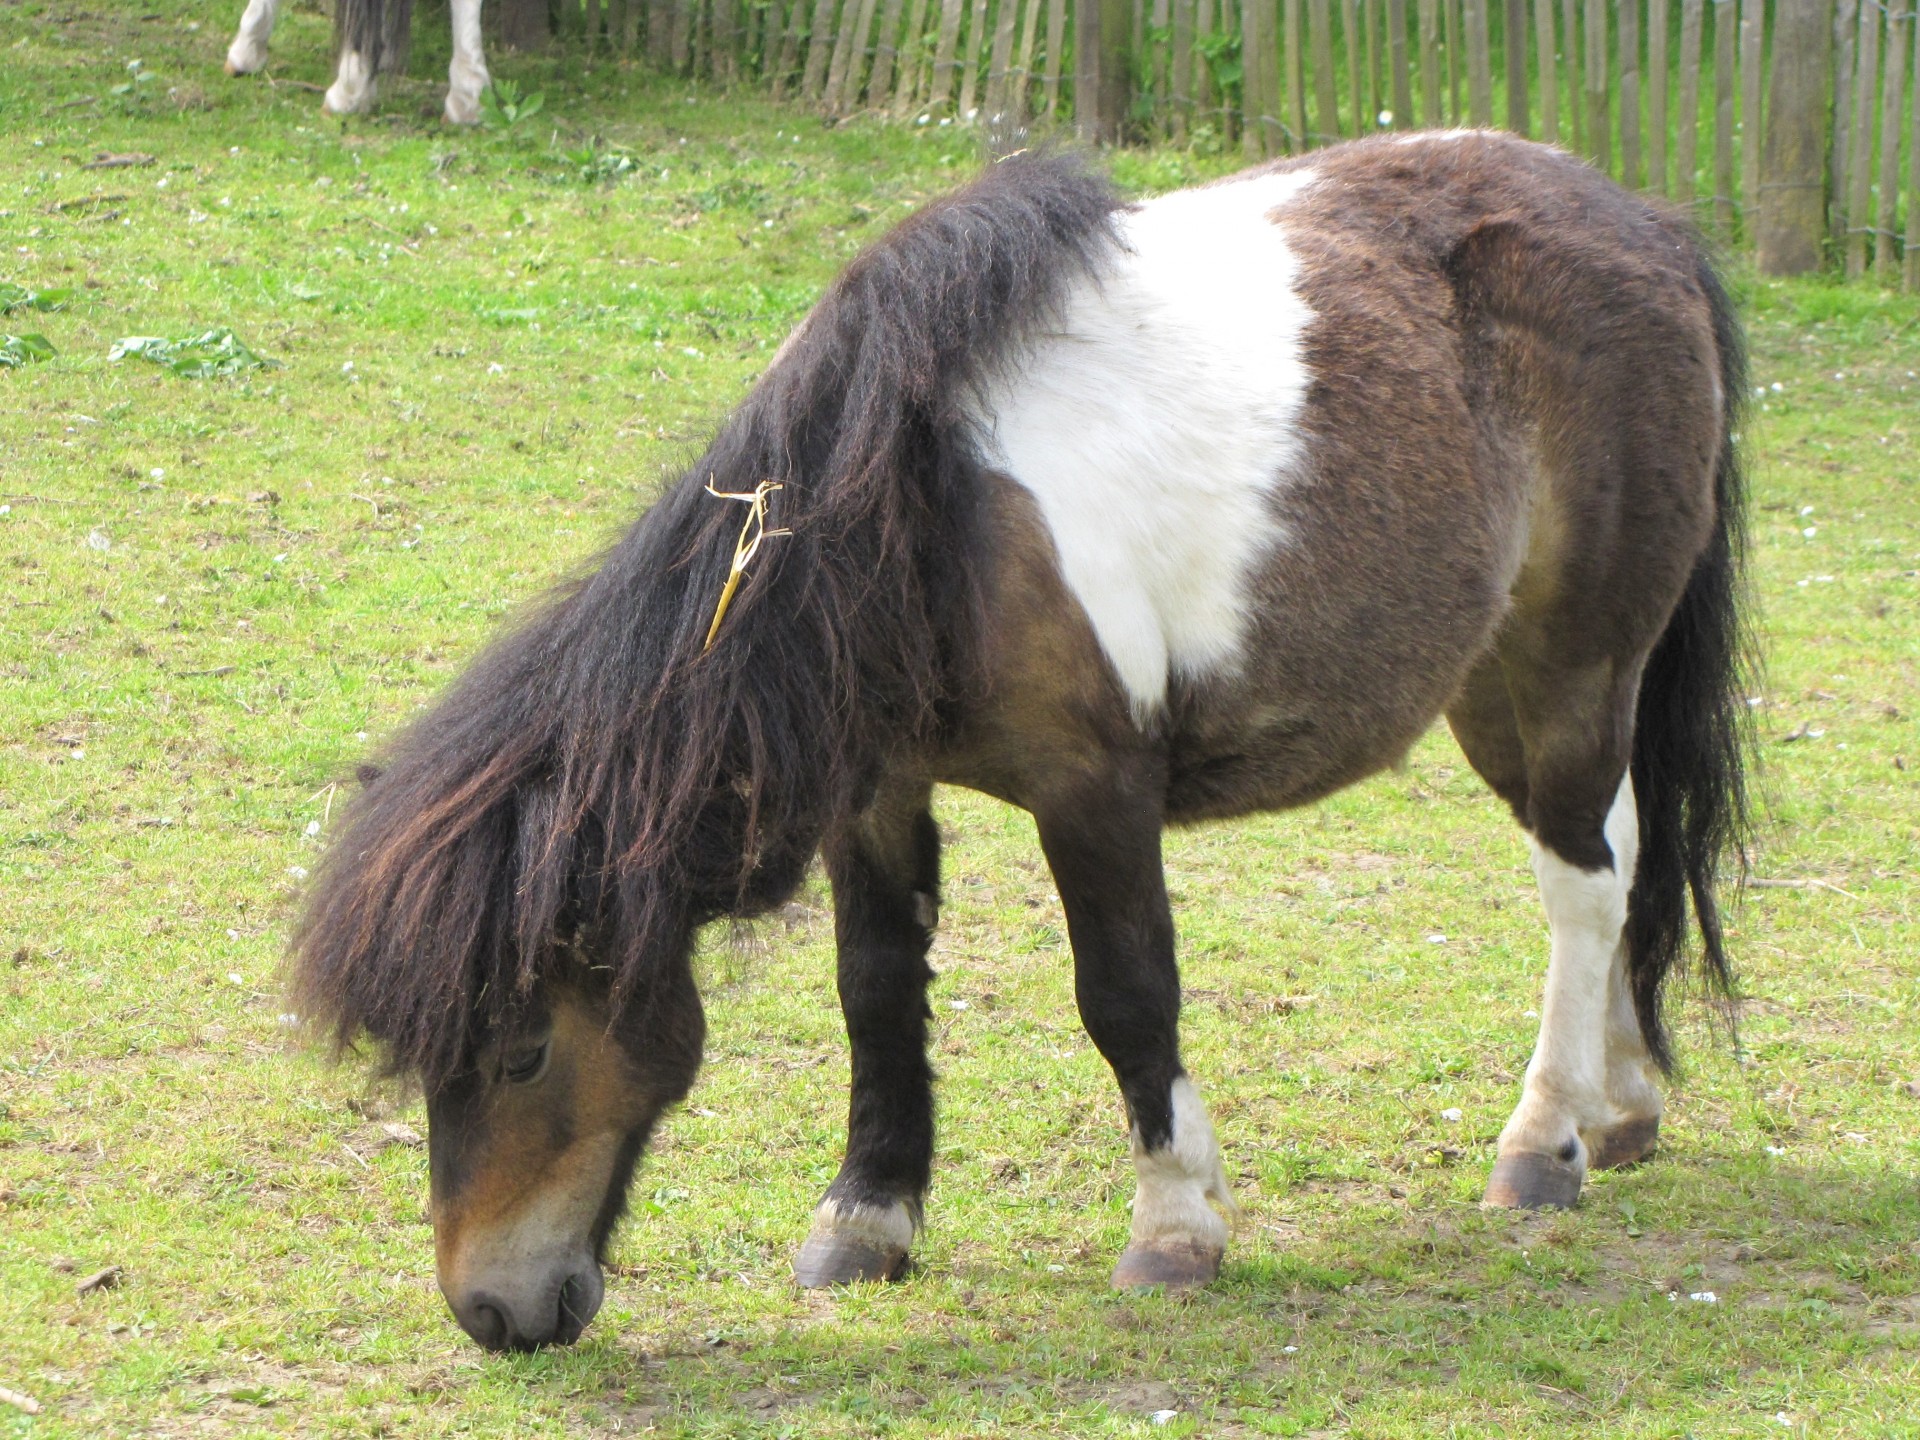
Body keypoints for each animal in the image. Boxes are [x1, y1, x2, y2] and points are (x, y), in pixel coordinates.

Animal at [288, 132, 1758, 1351]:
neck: (917, 516)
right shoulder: (874, 794)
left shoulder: (1093, 789)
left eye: (523, 1050)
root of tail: (1648, 223)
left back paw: (1544, 1145)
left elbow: (1126, 996)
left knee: (1579, 888)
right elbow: (876, 990)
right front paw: (865, 1220)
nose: (490, 1311)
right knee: (1618, 854)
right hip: (1497, 690)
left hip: (1574, 666)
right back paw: (1620, 1108)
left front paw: (1176, 1227)